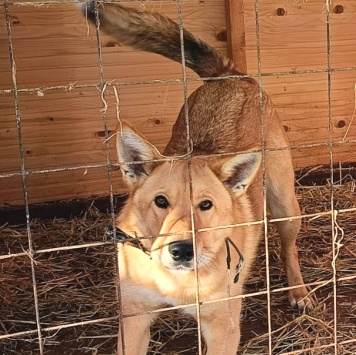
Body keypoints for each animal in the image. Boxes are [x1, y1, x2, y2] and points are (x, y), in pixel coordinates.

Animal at [78, 2, 312, 354]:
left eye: (206, 205)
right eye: (161, 201)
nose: (182, 250)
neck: (176, 282)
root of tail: (230, 77)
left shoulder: (223, 329)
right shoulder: (133, 321)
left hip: (285, 205)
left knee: (289, 248)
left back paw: (298, 291)